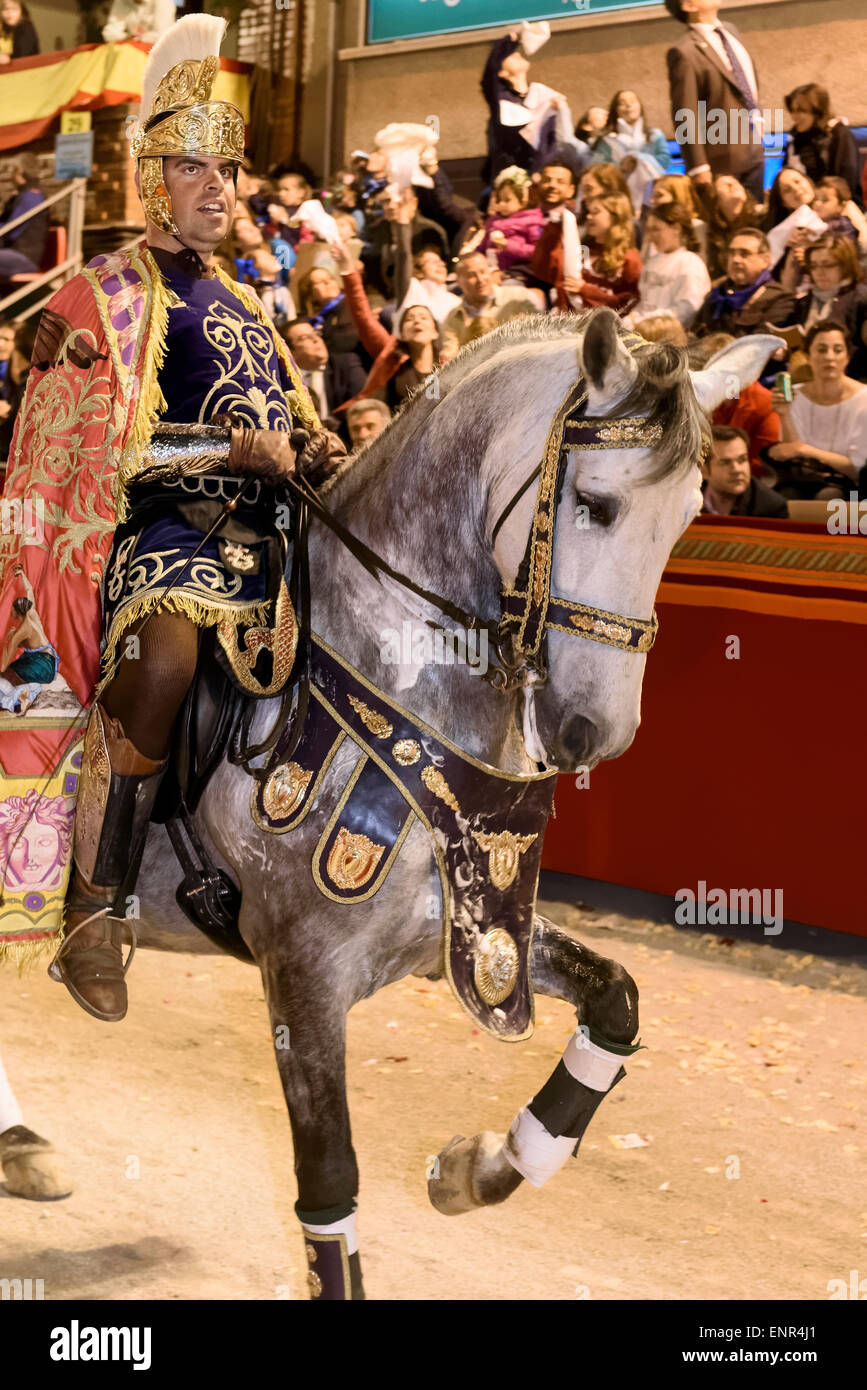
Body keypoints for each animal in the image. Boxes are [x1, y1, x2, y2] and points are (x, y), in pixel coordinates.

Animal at [134, 309, 778, 1295]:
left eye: (690, 516)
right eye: (594, 504)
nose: (596, 731)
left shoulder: (468, 927)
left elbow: (616, 1000)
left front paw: (479, 1167)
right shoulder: (304, 971)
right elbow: (330, 1184)